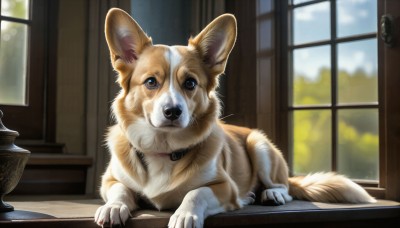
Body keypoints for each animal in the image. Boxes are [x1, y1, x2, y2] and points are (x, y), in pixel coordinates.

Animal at [94, 8, 376, 228]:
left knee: (283, 186)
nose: (172, 111)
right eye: (151, 82)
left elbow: (195, 193)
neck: (165, 148)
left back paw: (270, 194)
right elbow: (120, 190)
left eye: (190, 83)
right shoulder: (109, 180)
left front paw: (185, 215)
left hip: (259, 145)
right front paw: (113, 207)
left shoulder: (223, 187)